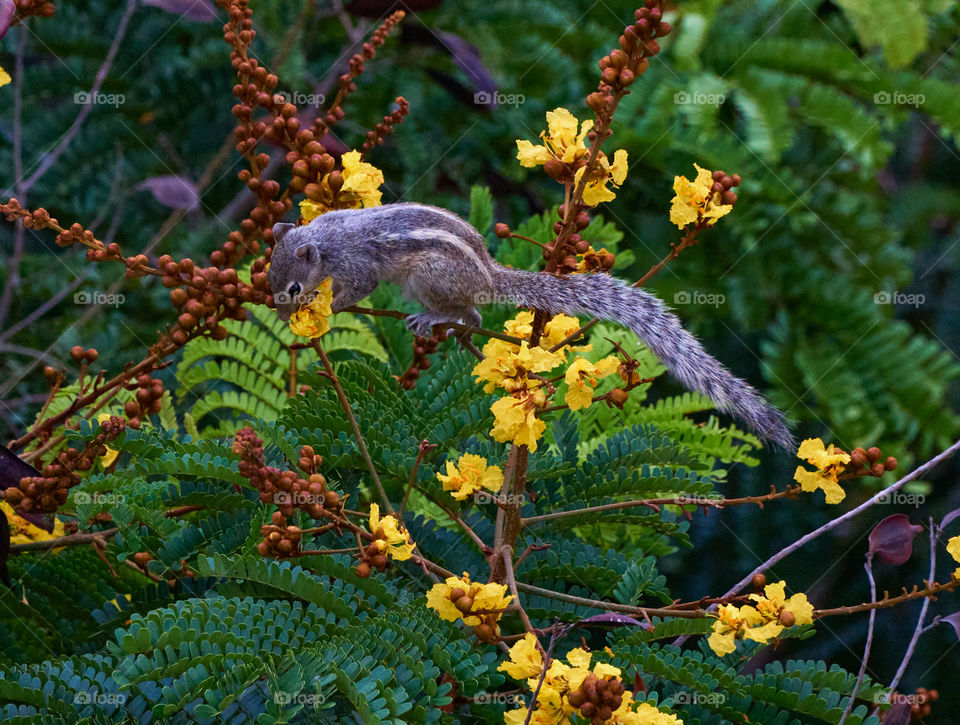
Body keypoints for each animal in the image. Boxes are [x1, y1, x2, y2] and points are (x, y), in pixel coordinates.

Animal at [268, 202, 793, 449]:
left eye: (291, 287)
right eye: (265, 271)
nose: (278, 311)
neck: (325, 241)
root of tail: (488, 275)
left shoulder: (359, 269)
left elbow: (355, 290)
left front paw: (327, 307)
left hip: (430, 279)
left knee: (474, 312)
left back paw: (442, 320)